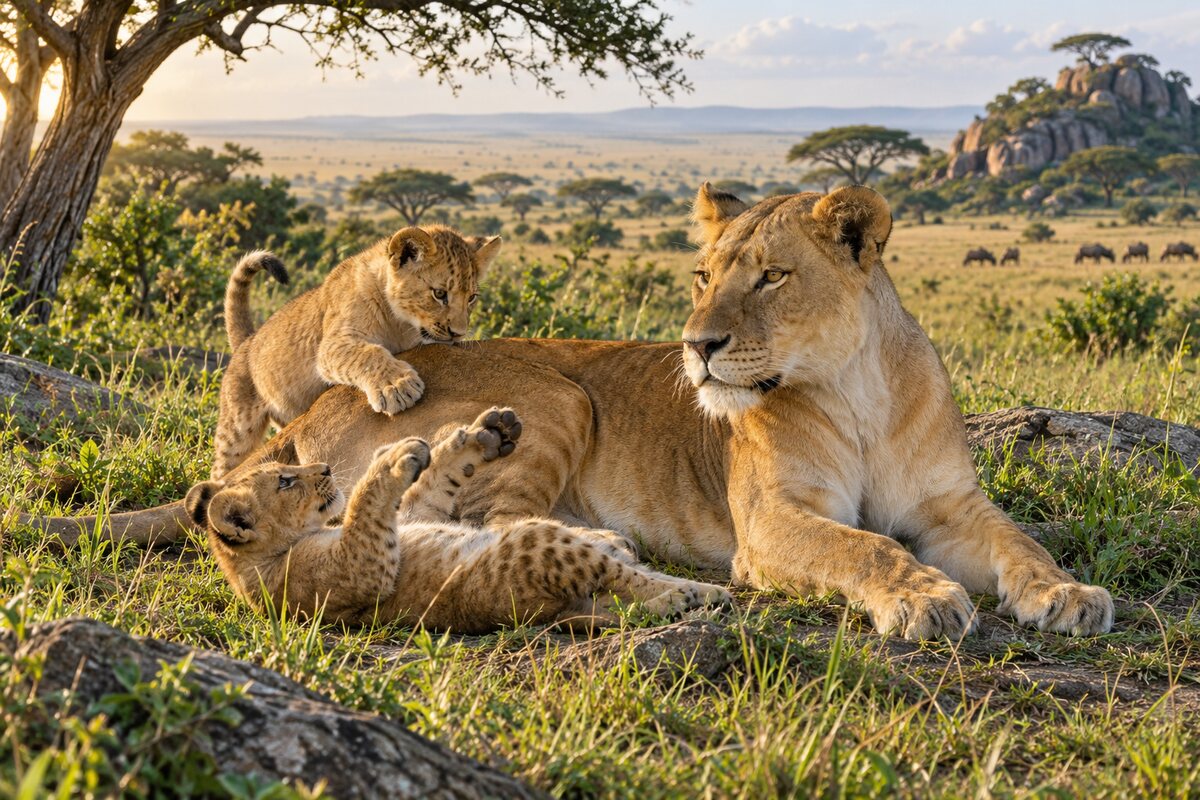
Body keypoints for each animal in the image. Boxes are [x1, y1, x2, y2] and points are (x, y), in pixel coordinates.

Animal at [186, 407, 730, 631]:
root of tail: (551, 613)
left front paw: (485, 435)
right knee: (625, 580)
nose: (321, 469)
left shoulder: (412, 514)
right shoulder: (357, 571)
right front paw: (392, 454)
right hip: (537, 543)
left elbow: (430, 484)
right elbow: (366, 500)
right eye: (284, 481)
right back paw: (693, 594)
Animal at [213, 226, 501, 478]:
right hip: (236, 427)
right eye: (439, 293)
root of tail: (247, 341)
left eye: (472, 297)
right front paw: (397, 387)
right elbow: (368, 354)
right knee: (223, 463)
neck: (401, 324)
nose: (458, 333)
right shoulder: (332, 346)